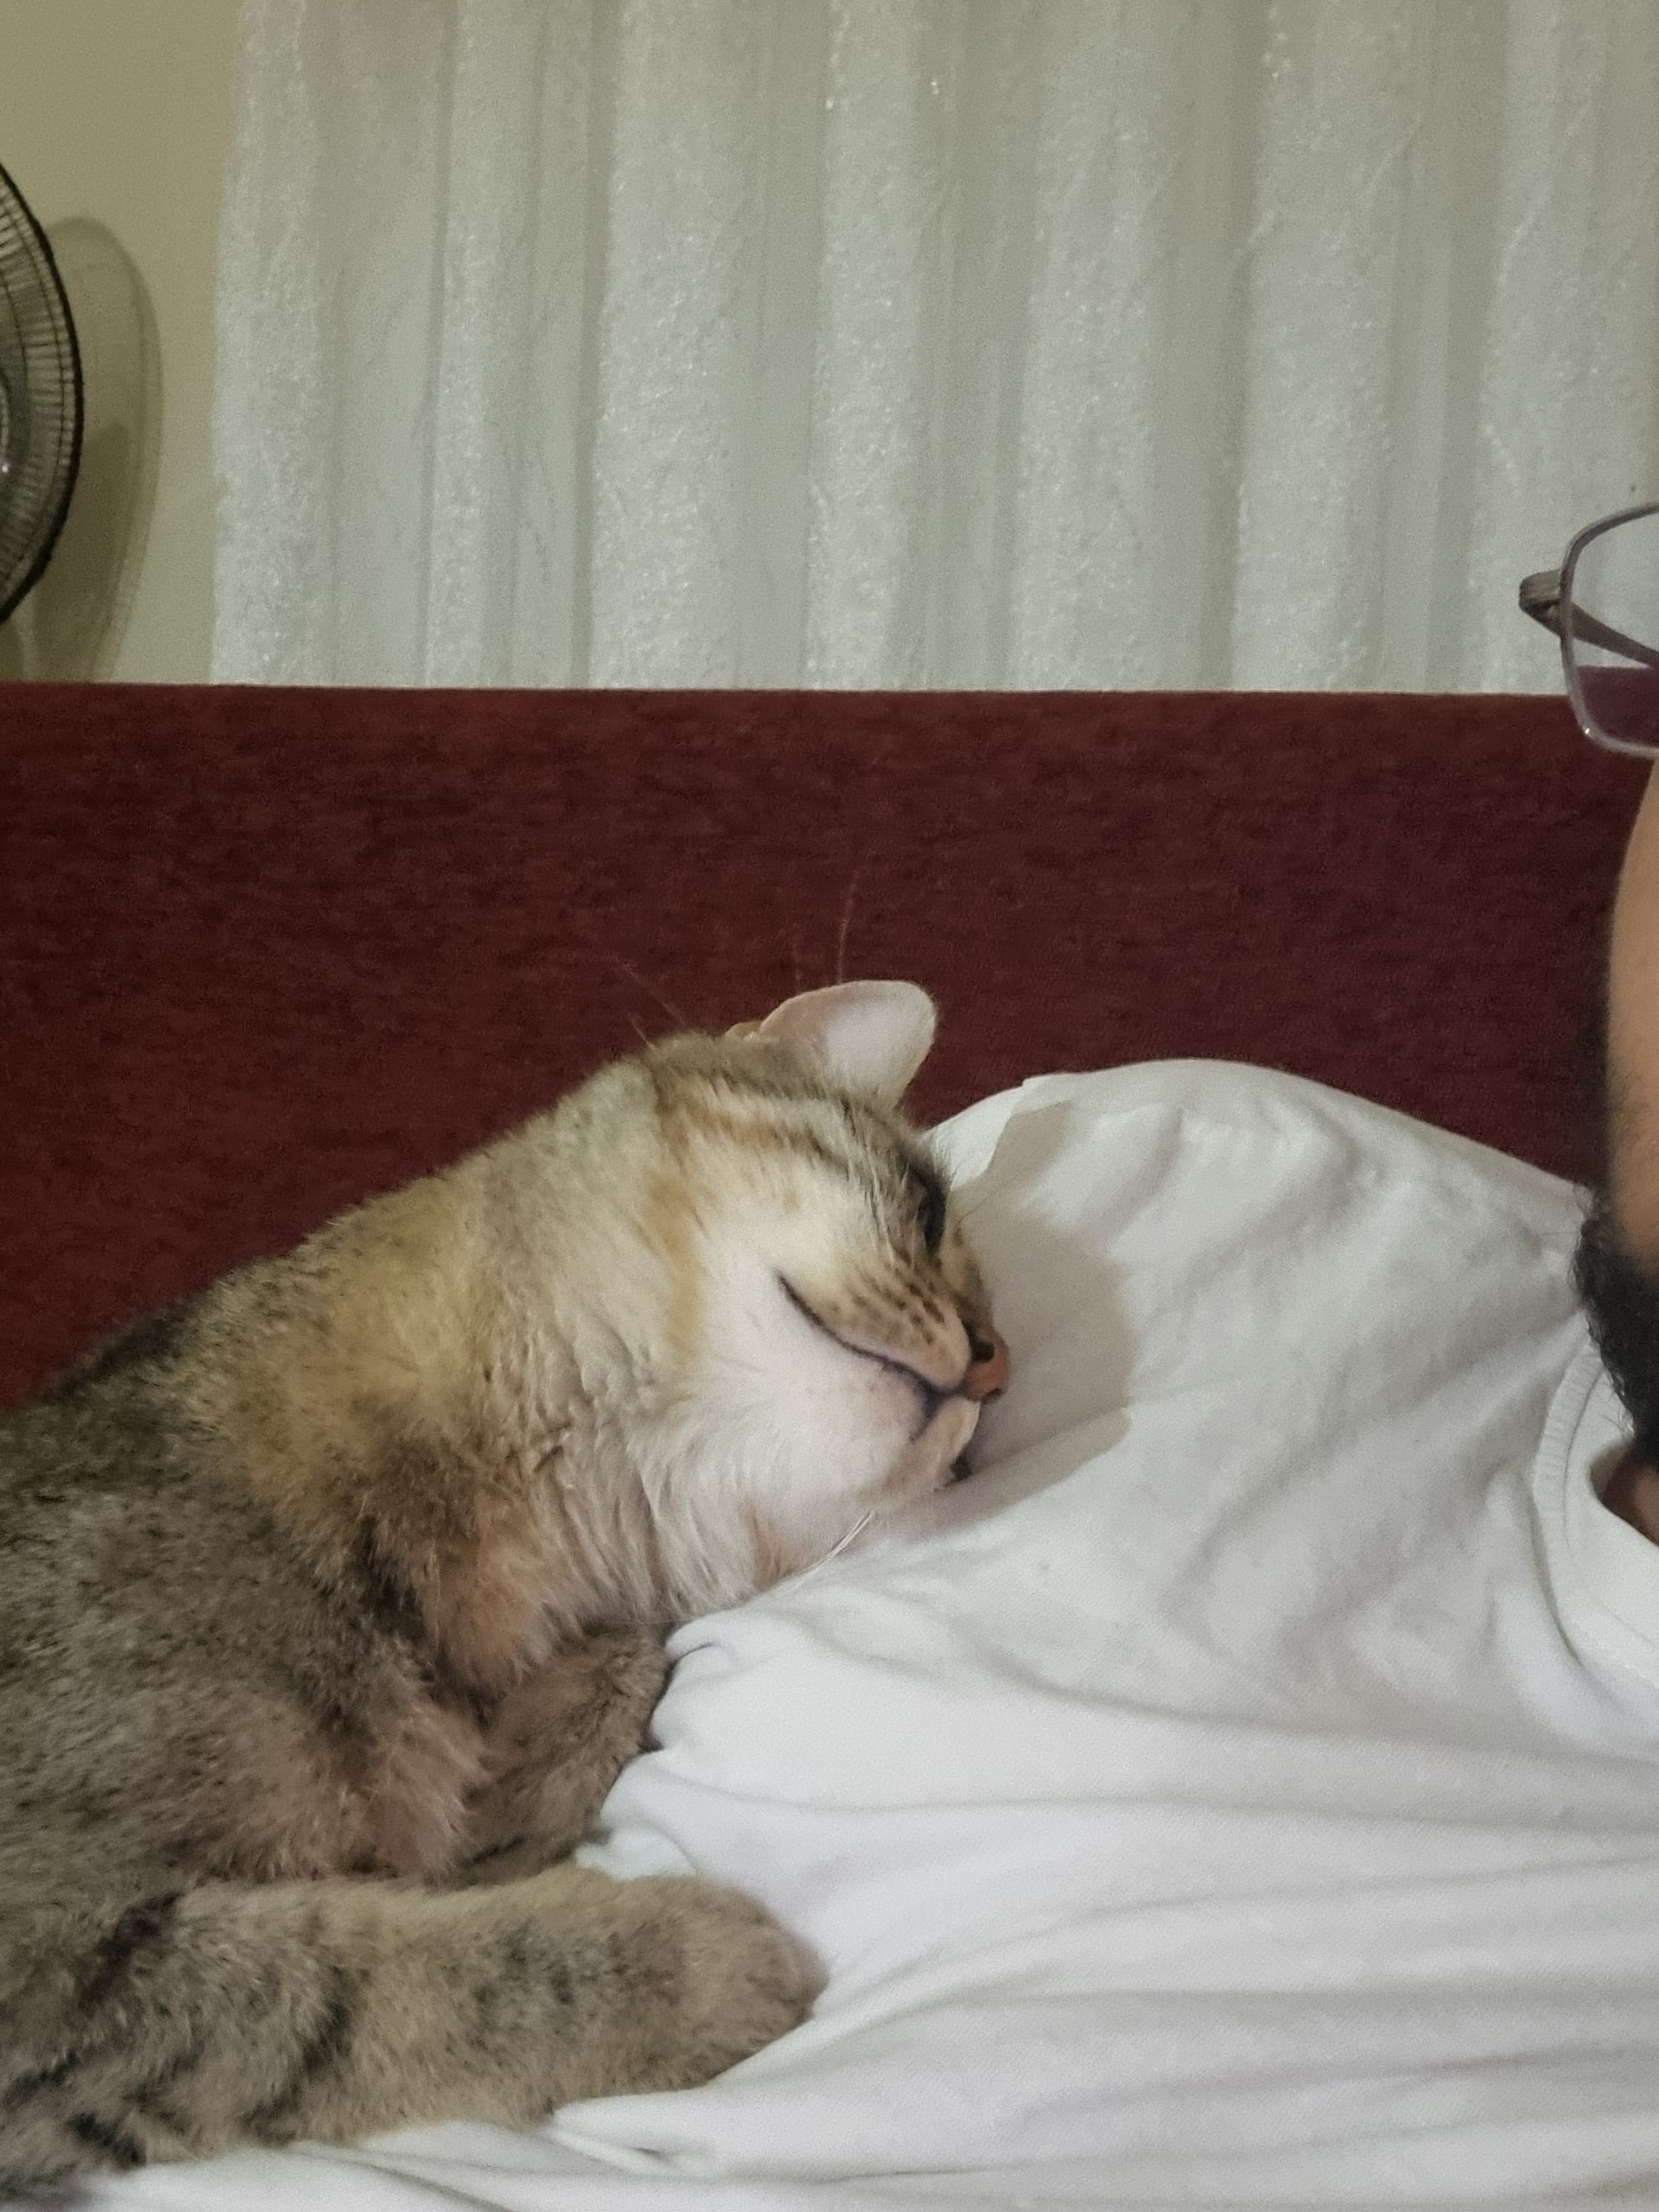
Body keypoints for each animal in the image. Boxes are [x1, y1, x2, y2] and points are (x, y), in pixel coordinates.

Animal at [0, 979, 1008, 2193]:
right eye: (928, 1207)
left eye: (973, 1453)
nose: (996, 1365)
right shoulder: (42, 1948)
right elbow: (336, 1991)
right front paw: (687, 1965)